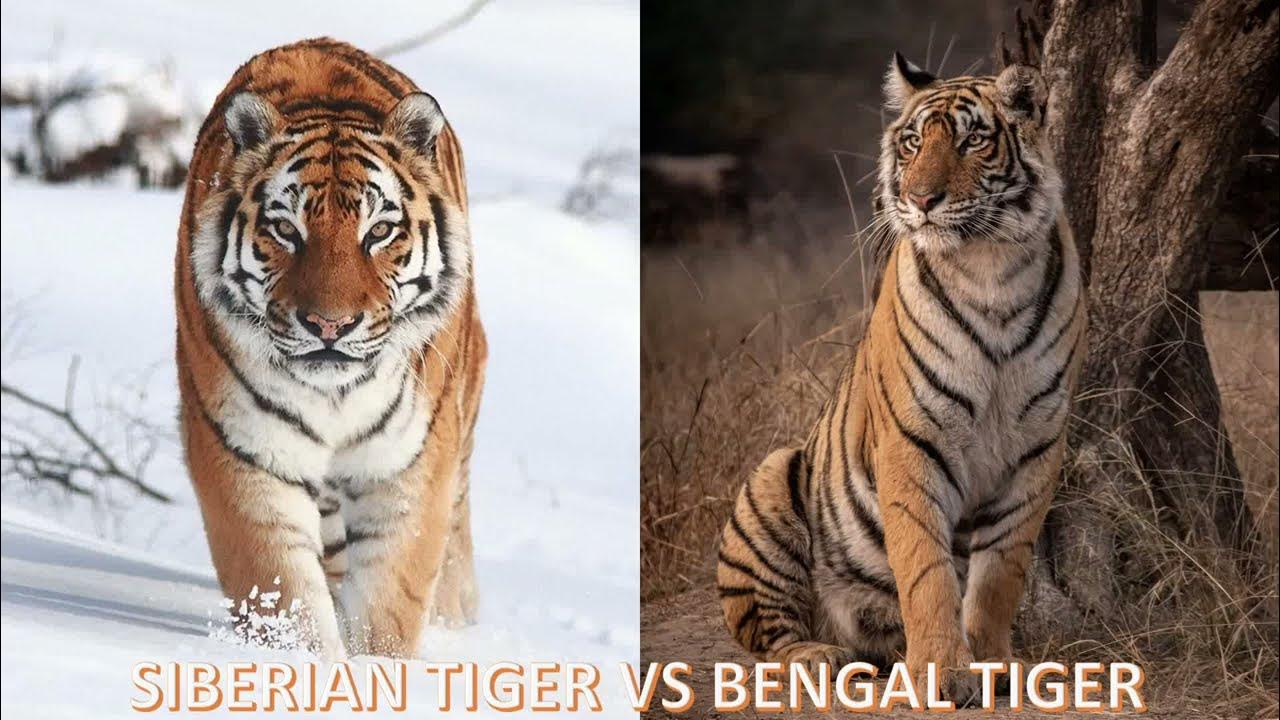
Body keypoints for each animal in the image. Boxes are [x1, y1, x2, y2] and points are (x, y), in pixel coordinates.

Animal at [175, 38, 486, 659]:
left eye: (379, 232)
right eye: (286, 230)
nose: (329, 325)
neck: (337, 395)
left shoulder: (409, 466)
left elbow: (390, 603)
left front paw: (378, 671)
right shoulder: (245, 455)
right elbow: (283, 596)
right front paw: (312, 667)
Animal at [716, 53, 1086, 700]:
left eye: (971, 140)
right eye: (913, 142)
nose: (921, 198)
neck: (992, 269)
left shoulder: (1037, 448)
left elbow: (999, 575)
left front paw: (993, 664)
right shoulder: (914, 440)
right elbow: (925, 568)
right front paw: (942, 672)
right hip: (770, 483)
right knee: (770, 638)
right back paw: (820, 655)